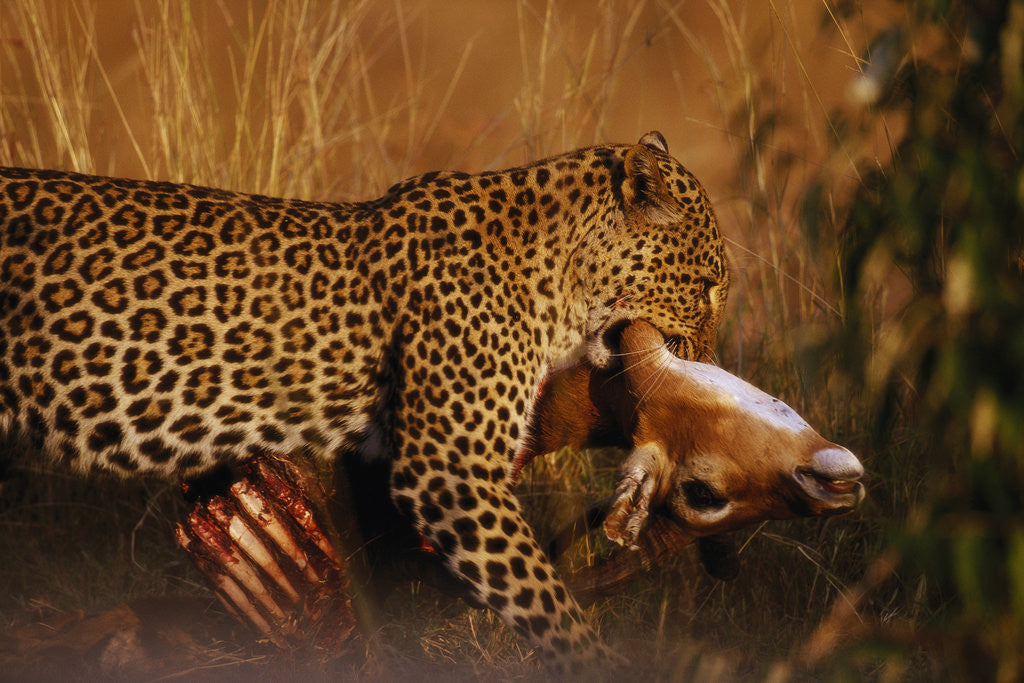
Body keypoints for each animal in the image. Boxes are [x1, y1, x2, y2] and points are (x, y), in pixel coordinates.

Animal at [0, 131, 729, 671]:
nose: (709, 364)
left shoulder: (378, 462)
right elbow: (544, 598)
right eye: (709, 287)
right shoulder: (447, 470)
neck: (559, 281)